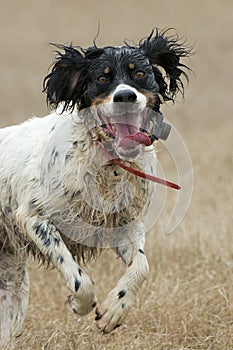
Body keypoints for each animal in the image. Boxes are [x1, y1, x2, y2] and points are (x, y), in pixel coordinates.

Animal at [0, 28, 191, 344]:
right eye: (102, 78)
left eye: (140, 73)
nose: (125, 95)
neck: (107, 162)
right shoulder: (33, 217)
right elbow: (79, 279)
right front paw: (80, 304)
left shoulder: (124, 225)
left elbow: (141, 267)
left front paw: (115, 310)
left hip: (12, 281)